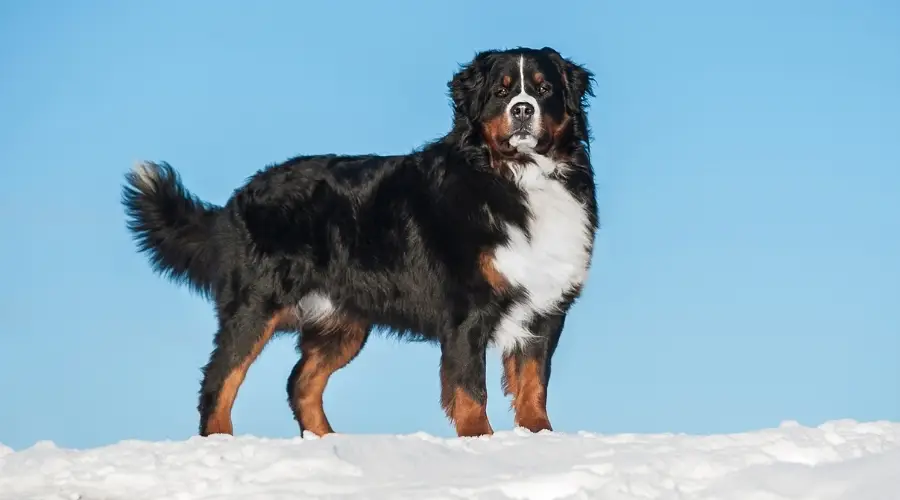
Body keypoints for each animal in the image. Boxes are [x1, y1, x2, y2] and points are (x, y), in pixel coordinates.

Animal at [119, 46, 596, 438]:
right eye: (501, 91)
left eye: (544, 89)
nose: (523, 109)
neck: (518, 180)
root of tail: (237, 198)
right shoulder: (468, 311)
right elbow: (469, 390)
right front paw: (479, 442)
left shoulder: (544, 308)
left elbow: (533, 385)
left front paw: (539, 438)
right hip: (255, 307)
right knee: (219, 381)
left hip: (342, 323)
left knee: (300, 383)